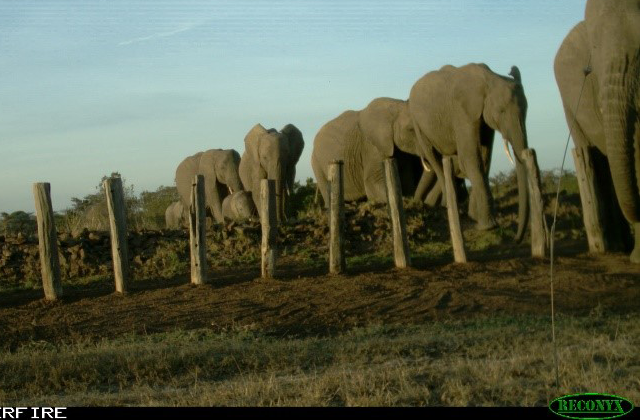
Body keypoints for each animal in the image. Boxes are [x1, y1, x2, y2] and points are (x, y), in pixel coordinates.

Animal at [409, 63, 530, 241]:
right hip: (418, 125)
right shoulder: (463, 112)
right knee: (434, 160)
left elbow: (484, 158)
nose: (516, 238)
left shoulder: (483, 117)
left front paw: (475, 218)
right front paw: (488, 226)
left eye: (527, 110)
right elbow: (471, 158)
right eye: (501, 110)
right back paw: (450, 208)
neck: (491, 79)